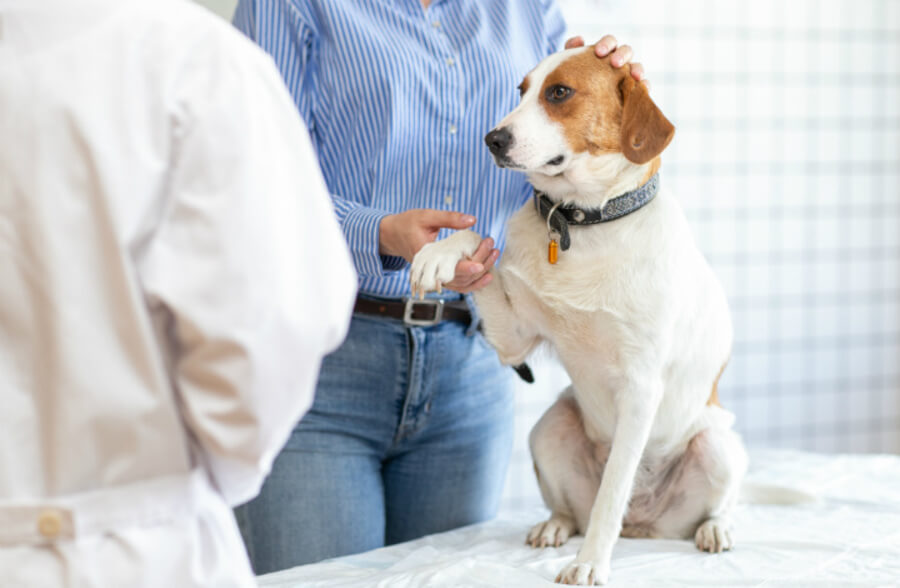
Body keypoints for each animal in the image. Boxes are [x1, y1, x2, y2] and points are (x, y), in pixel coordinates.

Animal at [408, 46, 744, 584]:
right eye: (521, 90)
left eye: (560, 92)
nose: (492, 139)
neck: (583, 224)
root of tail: (644, 526)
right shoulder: (515, 340)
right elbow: (478, 244)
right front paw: (440, 253)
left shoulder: (641, 388)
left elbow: (611, 497)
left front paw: (590, 564)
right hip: (549, 428)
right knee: (574, 509)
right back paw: (554, 524)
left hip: (717, 445)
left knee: (707, 505)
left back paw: (714, 529)